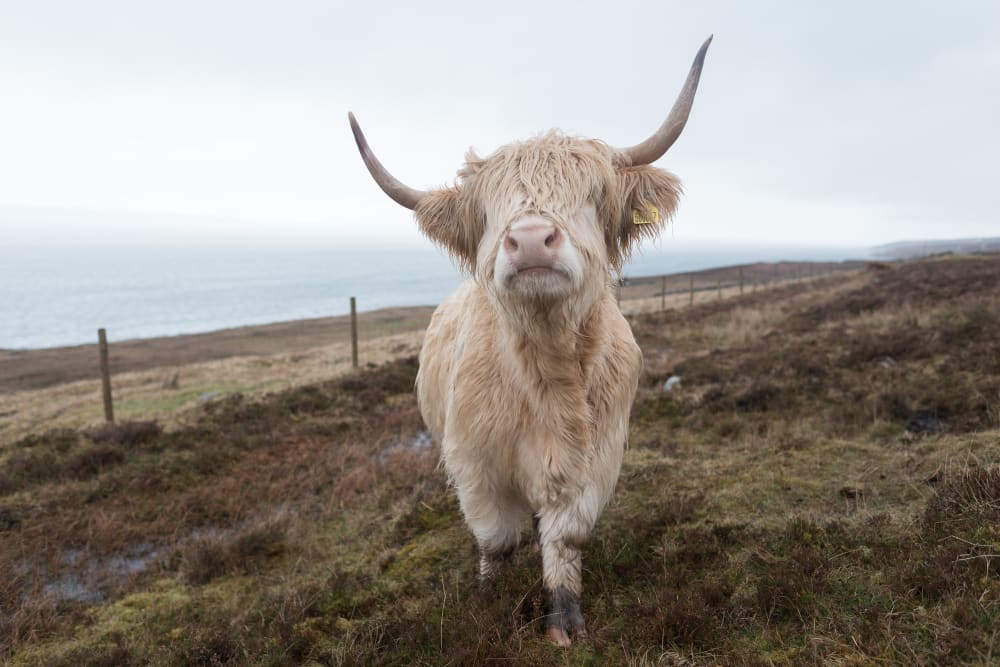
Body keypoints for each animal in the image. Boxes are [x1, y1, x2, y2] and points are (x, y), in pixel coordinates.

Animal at [352, 37, 712, 648]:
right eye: (489, 211)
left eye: (590, 194)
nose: (529, 240)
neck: (547, 370)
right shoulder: (474, 462)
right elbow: (496, 539)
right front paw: (487, 605)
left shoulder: (597, 453)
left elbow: (566, 534)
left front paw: (563, 620)